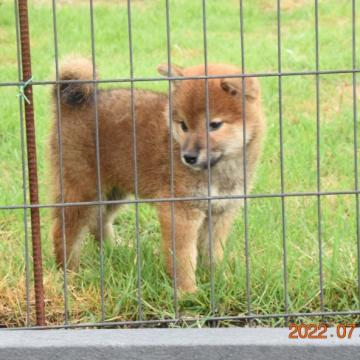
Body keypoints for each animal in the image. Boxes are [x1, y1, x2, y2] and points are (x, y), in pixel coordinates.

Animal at [50, 56, 264, 292]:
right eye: (183, 125)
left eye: (214, 125)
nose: (188, 157)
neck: (220, 170)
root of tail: (70, 104)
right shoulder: (180, 212)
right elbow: (183, 258)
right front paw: (187, 292)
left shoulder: (219, 213)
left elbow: (213, 254)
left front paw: (217, 281)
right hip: (82, 191)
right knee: (64, 232)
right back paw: (70, 273)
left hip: (114, 192)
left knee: (99, 222)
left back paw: (114, 250)